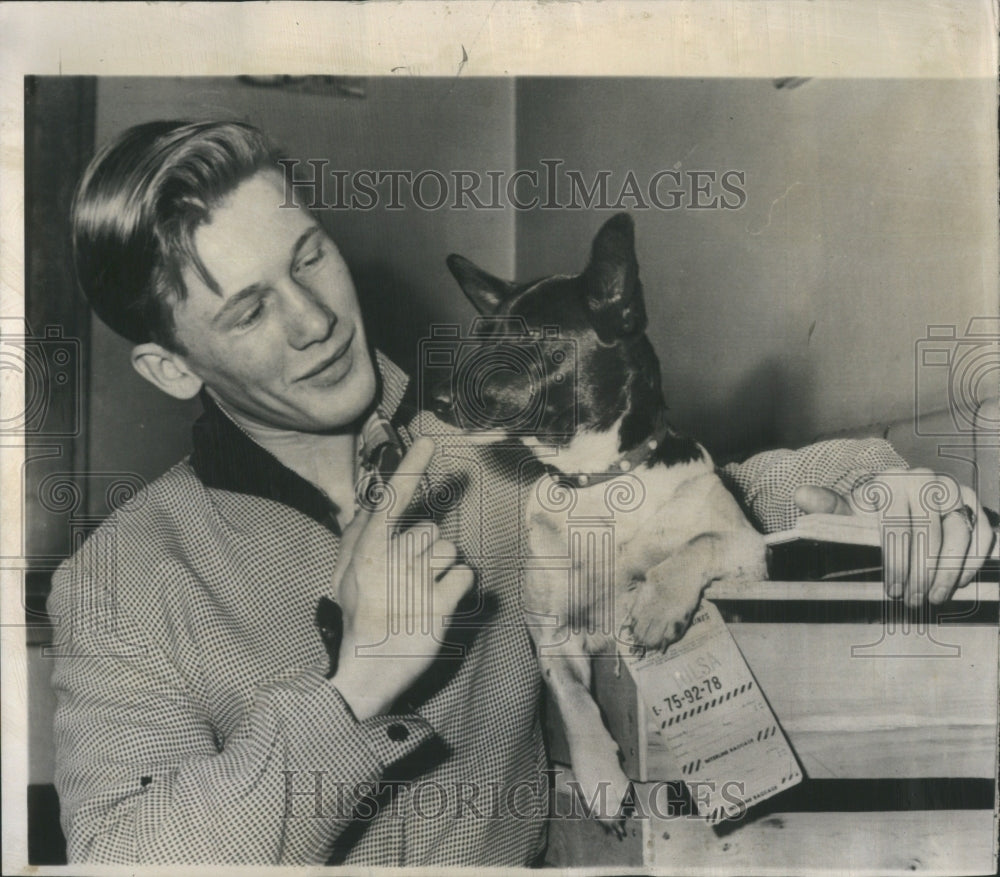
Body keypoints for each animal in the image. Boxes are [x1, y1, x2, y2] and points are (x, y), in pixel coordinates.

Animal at [430, 216, 764, 832]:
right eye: (480, 334)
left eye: (527, 335)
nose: (435, 399)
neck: (595, 483)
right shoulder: (557, 638)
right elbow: (577, 704)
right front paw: (602, 782)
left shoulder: (749, 549)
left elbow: (694, 546)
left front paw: (655, 607)